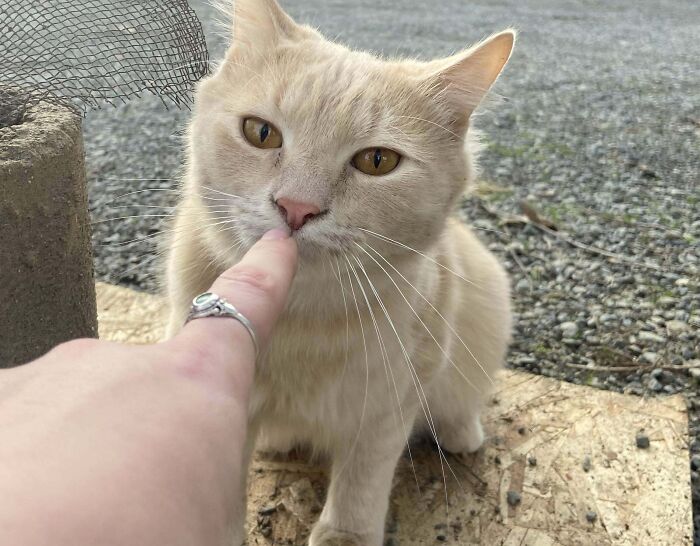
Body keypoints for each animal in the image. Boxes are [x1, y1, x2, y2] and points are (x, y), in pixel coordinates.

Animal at [166, 2, 512, 540]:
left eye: (378, 161)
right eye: (260, 132)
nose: (297, 207)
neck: (302, 319)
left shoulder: (391, 402)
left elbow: (363, 476)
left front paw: (345, 533)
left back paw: (461, 432)